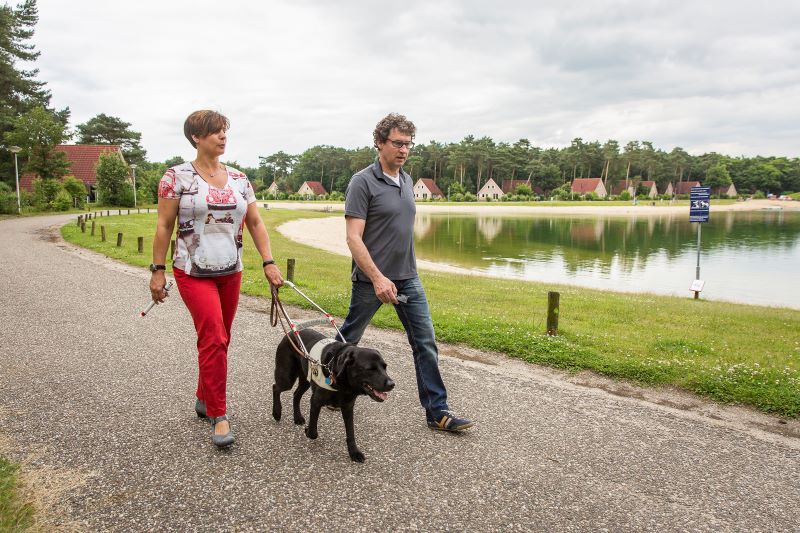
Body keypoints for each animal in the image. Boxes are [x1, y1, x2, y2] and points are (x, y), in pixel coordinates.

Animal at [272, 328, 394, 462]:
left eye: (385, 367)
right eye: (370, 369)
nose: (392, 384)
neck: (343, 385)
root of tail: (290, 333)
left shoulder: (348, 407)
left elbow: (350, 433)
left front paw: (354, 452)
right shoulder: (316, 401)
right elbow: (313, 432)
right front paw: (308, 430)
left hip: (305, 380)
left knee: (296, 395)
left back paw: (297, 417)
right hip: (287, 378)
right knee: (276, 388)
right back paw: (276, 412)